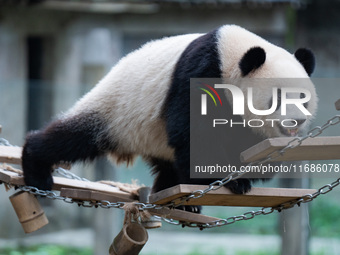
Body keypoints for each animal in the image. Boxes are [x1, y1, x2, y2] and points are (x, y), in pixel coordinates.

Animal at [21, 24, 316, 209]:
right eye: (277, 97)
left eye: (303, 97)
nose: (297, 121)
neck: (230, 53)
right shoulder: (201, 71)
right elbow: (194, 129)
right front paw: (229, 179)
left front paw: (243, 174)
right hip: (115, 109)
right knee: (72, 137)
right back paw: (36, 169)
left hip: (153, 134)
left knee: (169, 164)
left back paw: (174, 197)